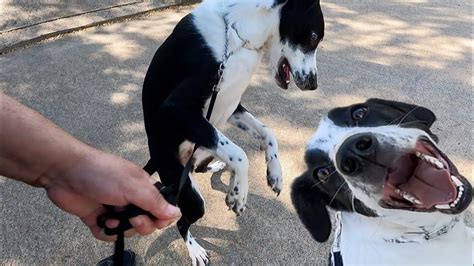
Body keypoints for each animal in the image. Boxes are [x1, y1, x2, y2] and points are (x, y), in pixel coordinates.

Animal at [142, 0, 326, 264]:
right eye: (312, 37)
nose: (313, 84)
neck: (237, 36)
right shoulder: (177, 109)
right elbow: (241, 154)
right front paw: (238, 195)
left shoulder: (232, 107)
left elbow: (267, 133)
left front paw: (275, 174)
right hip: (190, 195)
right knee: (181, 222)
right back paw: (196, 250)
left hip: (202, 151)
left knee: (202, 166)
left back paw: (219, 167)